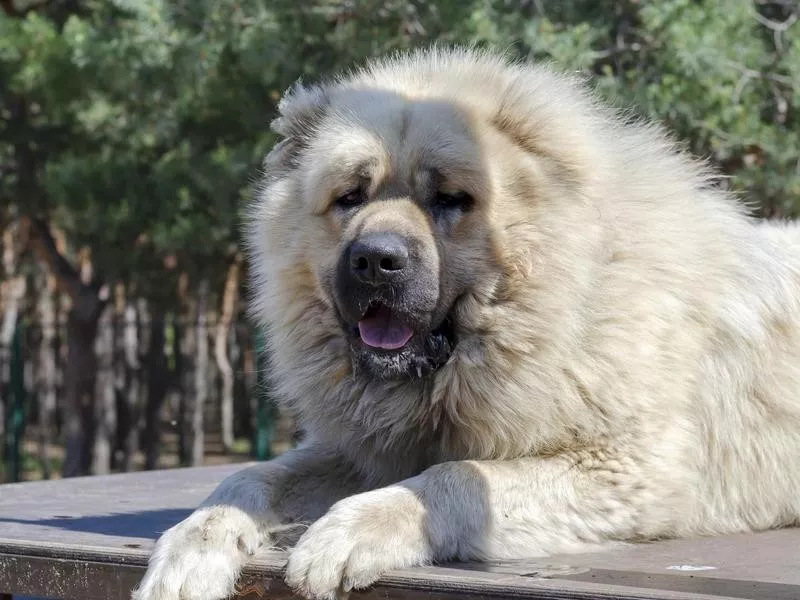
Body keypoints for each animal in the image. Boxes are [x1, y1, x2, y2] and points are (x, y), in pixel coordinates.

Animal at [134, 47, 800, 600]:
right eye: (351, 196)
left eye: (451, 199)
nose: (375, 260)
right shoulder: (362, 452)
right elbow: (249, 479)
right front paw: (189, 550)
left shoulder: (627, 471)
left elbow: (453, 475)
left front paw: (343, 534)